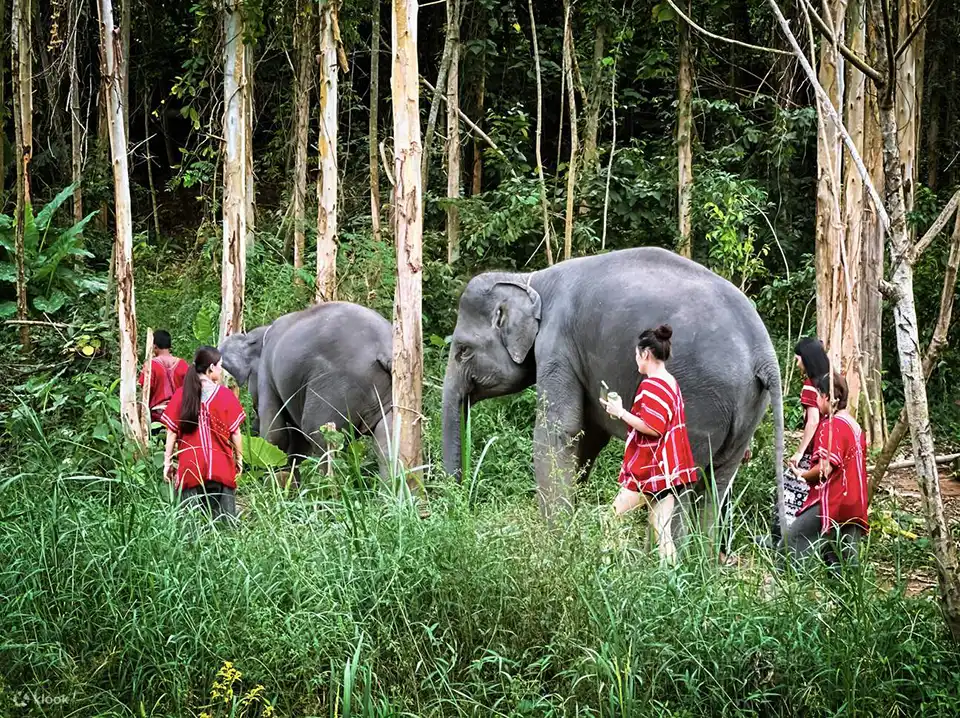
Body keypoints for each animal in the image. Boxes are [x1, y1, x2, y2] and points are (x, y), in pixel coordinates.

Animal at [219, 302, 396, 479]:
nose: (253, 425)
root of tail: (384, 347)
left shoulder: (266, 374)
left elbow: (275, 434)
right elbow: (298, 443)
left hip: (337, 388)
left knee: (319, 435)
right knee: (386, 438)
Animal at [441, 247, 785, 532]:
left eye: (463, 351)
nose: (458, 504)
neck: (530, 279)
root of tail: (764, 353)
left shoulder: (557, 343)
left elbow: (560, 430)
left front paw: (554, 540)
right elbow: (589, 437)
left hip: (701, 404)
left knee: (679, 491)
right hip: (746, 411)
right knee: (717, 484)